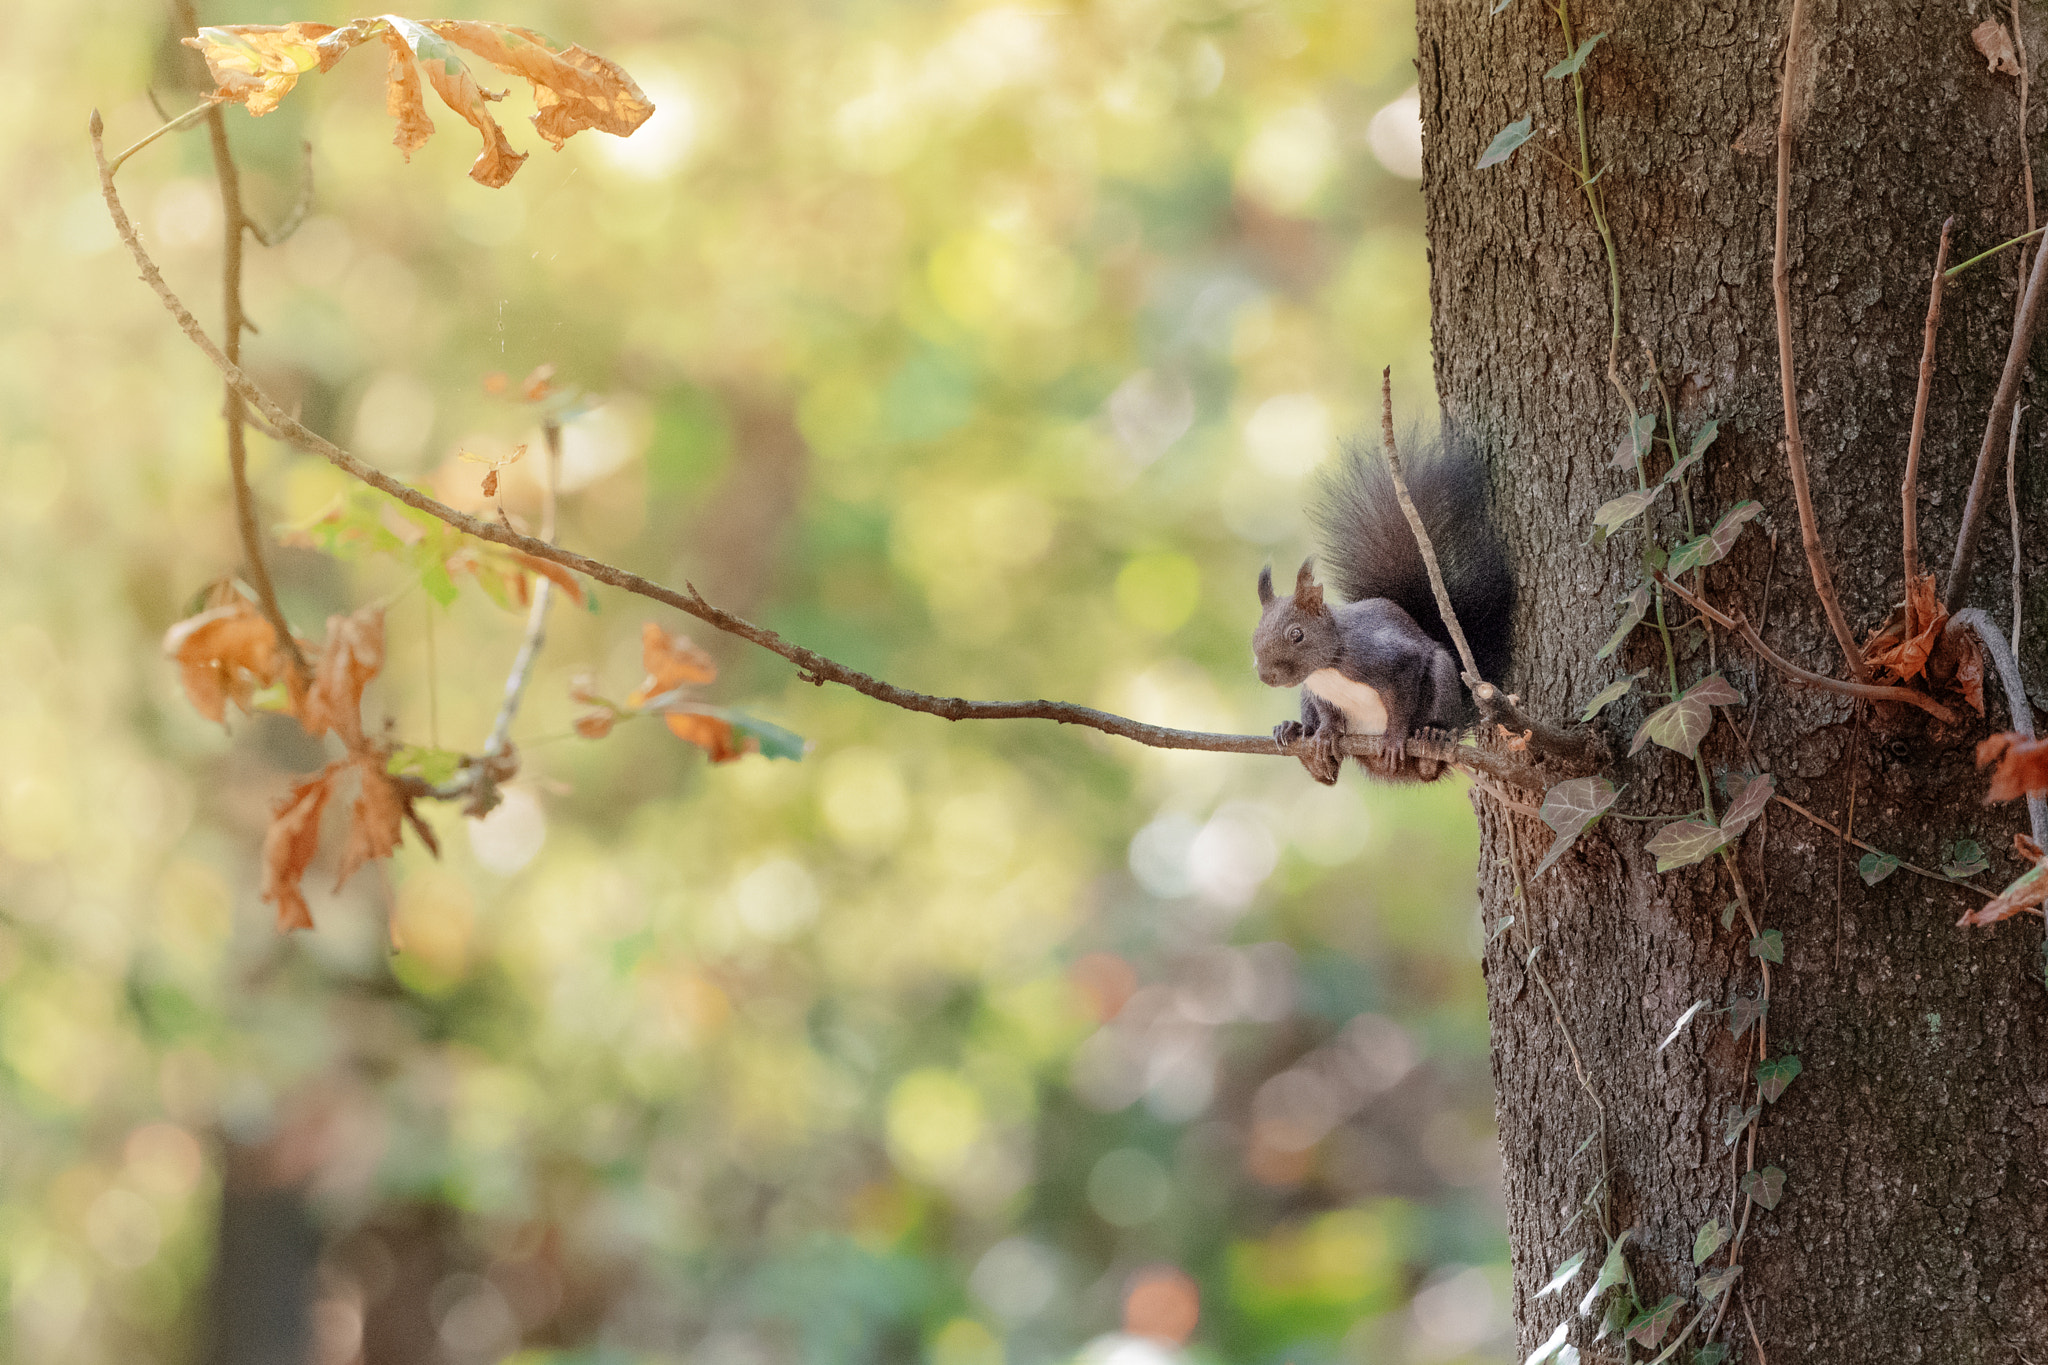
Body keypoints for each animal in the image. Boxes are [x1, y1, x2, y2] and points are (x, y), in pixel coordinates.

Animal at [1253, 431, 1515, 785]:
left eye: (1297, 634)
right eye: (1254, 636)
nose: (1266, 676)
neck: (1327, 668)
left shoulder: (1388, 658)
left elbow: (1402, 699)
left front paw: (1394, 737)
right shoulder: (1315, 690)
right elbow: (1328, 713)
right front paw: (1325, 734)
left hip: (1443, 681)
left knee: (1432, 754)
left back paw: (1432, 740)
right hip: (1307, 700)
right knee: (1327, 774)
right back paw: (1297, 735)